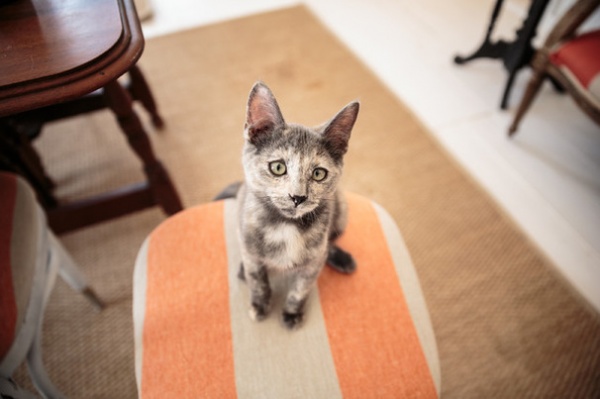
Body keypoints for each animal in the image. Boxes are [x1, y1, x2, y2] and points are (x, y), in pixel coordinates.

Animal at [236, 82, 358, 332]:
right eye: (278, 167)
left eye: (319, 173)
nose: (297, 197)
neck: (286, 226)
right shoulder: (249, 244)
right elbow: (258, 279)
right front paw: (260, 305)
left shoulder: (312, 266)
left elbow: (301, 288)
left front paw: (292, 313)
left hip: (341, 210)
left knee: (329, 243)